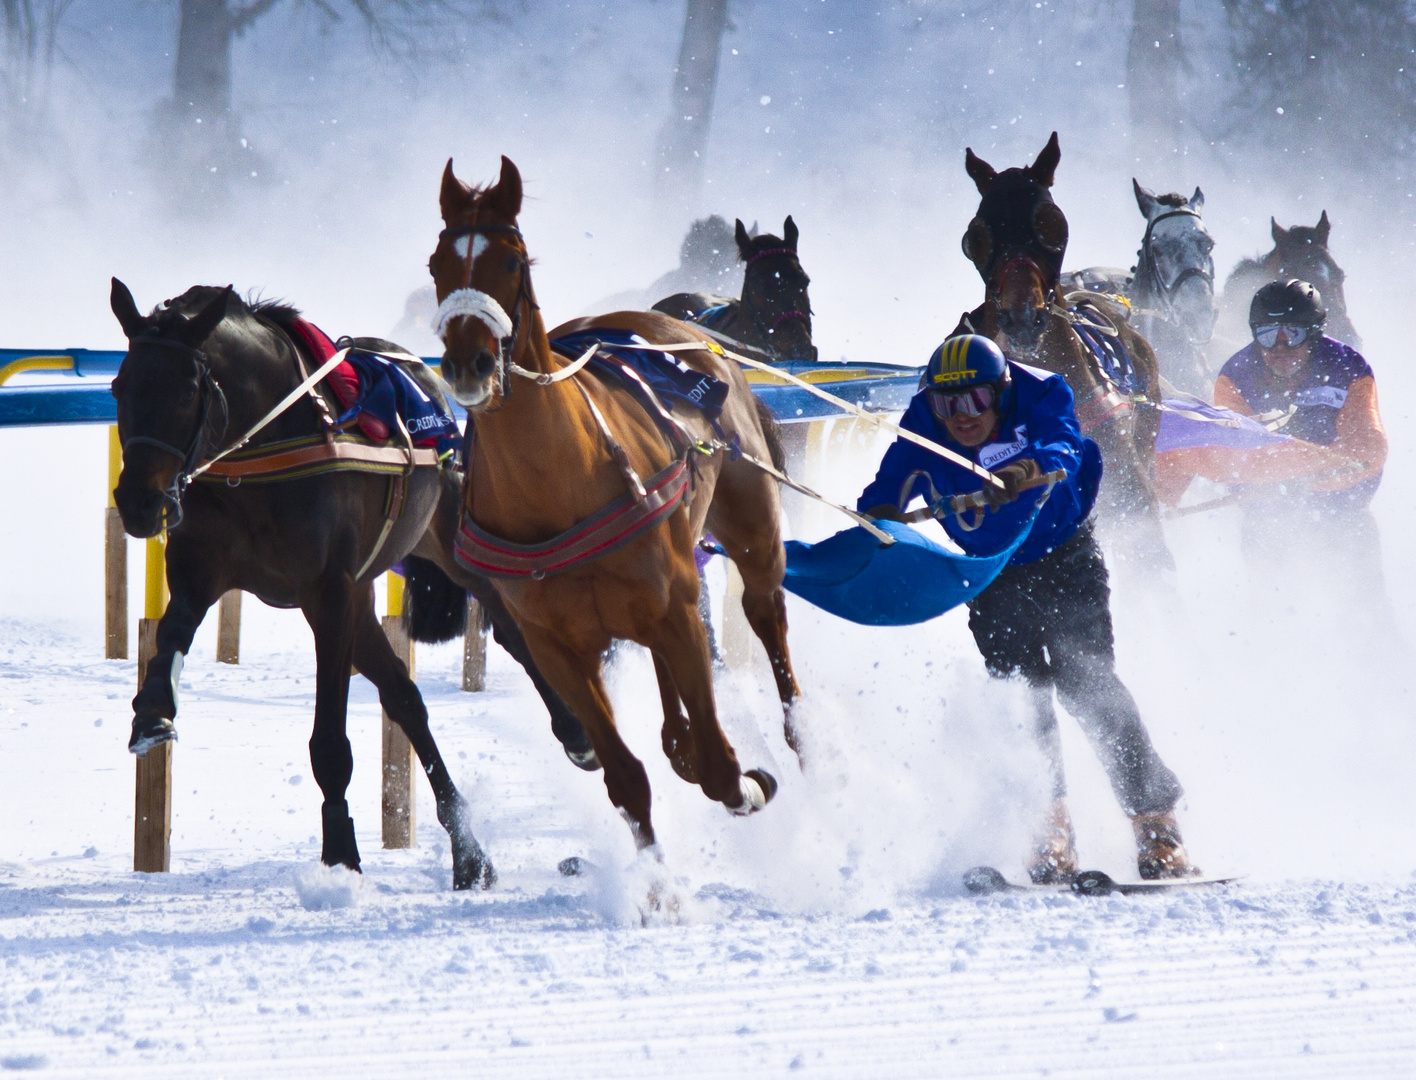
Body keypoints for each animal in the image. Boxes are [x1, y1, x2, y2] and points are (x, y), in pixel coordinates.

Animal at [107, 283, 586, 888]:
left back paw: (576, 734)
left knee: (511, 631)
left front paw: (340, 852)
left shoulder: (329, 593)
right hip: (366, 594)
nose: (138, 503)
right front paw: (152, 711)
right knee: (405, 698)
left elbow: (330, 741)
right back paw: (469, 854)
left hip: (452, 541)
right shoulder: (203, 567)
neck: (262, 451)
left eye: (188, 389)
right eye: (120, 386)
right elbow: (170, 632)